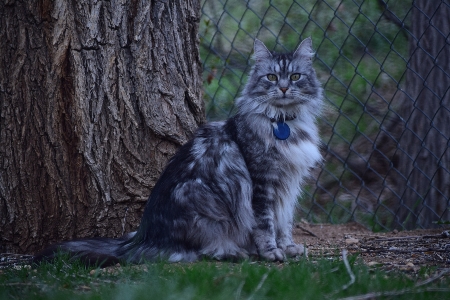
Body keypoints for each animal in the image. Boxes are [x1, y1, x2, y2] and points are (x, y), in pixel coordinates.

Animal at [35, 37, 324, 264]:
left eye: (295, 76)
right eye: (271, 77)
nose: (284, 88)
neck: (284, 123)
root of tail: (142, 238)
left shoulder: (288, 183)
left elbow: (284, 222)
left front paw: (288, 247)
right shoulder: (263, 182)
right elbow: (266, 224)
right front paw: (271, 252)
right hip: (202, 200)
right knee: (200, 251)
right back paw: (233, 252)